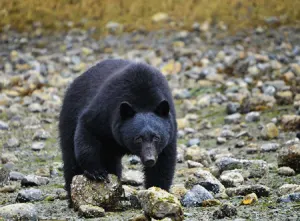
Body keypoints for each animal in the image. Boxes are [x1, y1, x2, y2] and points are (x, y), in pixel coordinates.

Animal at [59, 59, 178, 204]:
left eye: (156, 137)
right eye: (138, 138)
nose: (149, 159)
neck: (143, 100)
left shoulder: (170, 129)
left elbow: (163, 162)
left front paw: (158, 190)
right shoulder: (106, 110)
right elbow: (88, 129)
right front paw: (96, 172)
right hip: (69, 116)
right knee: (70, 158)